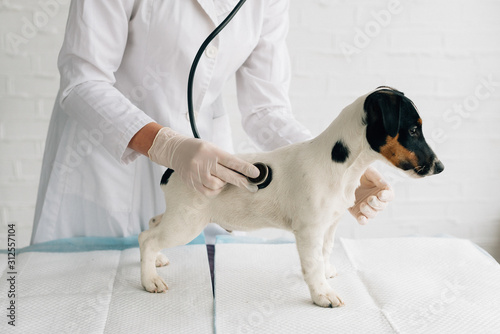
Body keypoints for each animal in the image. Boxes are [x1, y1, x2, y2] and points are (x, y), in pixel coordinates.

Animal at [139, 86, 444, 308]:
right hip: (187, 223)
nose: (440, 167)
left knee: (151, 225)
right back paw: (149, 280)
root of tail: (173, 168)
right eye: (413, 129)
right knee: (148, 239)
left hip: (179, 216)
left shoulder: (328, 226)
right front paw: (322, 295)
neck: (341, 165)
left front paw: (326, 273)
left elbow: (323, 254)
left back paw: (156, 262)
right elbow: (312, 264)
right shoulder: (309, 230)